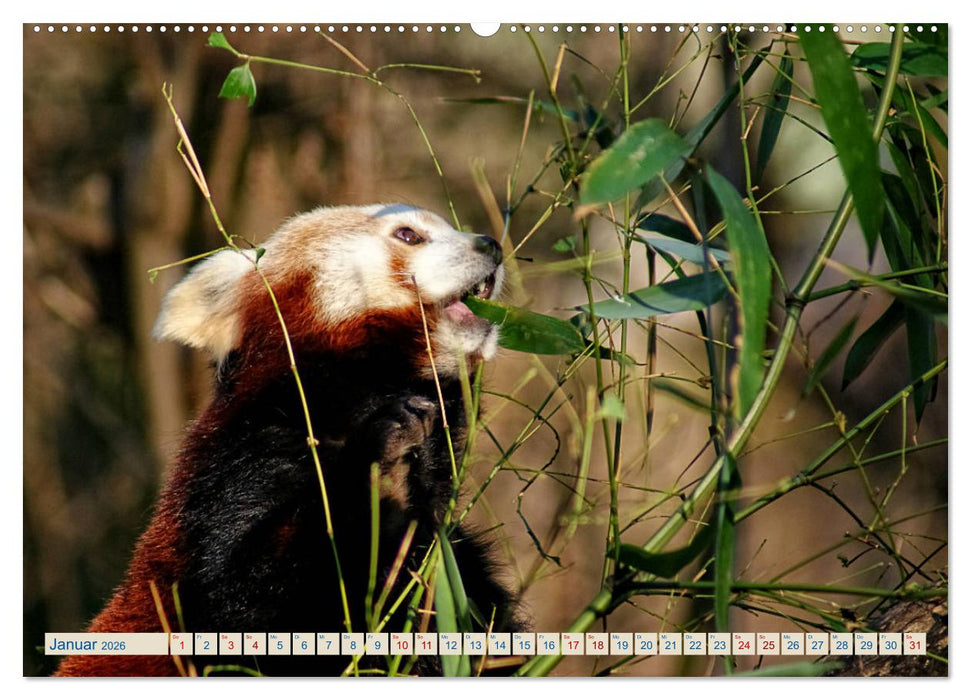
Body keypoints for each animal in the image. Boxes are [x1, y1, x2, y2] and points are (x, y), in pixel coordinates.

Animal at [55, 204, 523, 676]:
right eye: (408, 234)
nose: (491, 244)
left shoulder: (453, 558)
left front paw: (408, 477)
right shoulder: (243, 460)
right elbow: (250, 592)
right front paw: (381, 471)